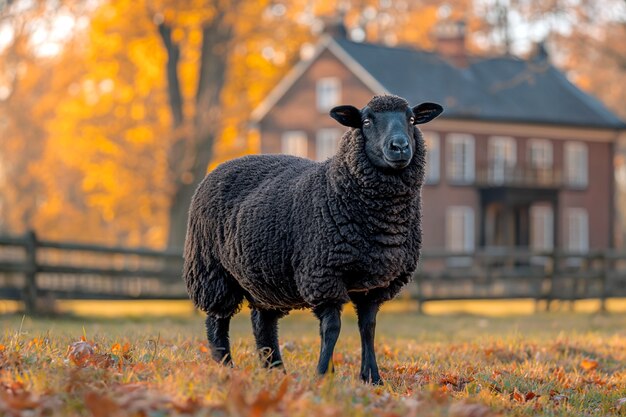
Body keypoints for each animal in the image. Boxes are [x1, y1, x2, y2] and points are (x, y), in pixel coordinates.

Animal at [183, 94, 442, 384]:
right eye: (366, 121)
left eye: (412, 119)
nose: (399, 146)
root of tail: (224, 165)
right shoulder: (323, 274)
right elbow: (331, 328)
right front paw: (322, 375)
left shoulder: (374, 285)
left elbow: (368, 328)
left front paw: (372, 378)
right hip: (212, 271)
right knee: (217, 320)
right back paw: (225, 367)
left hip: (265, 276)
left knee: (263, 323)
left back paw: (276, 370)